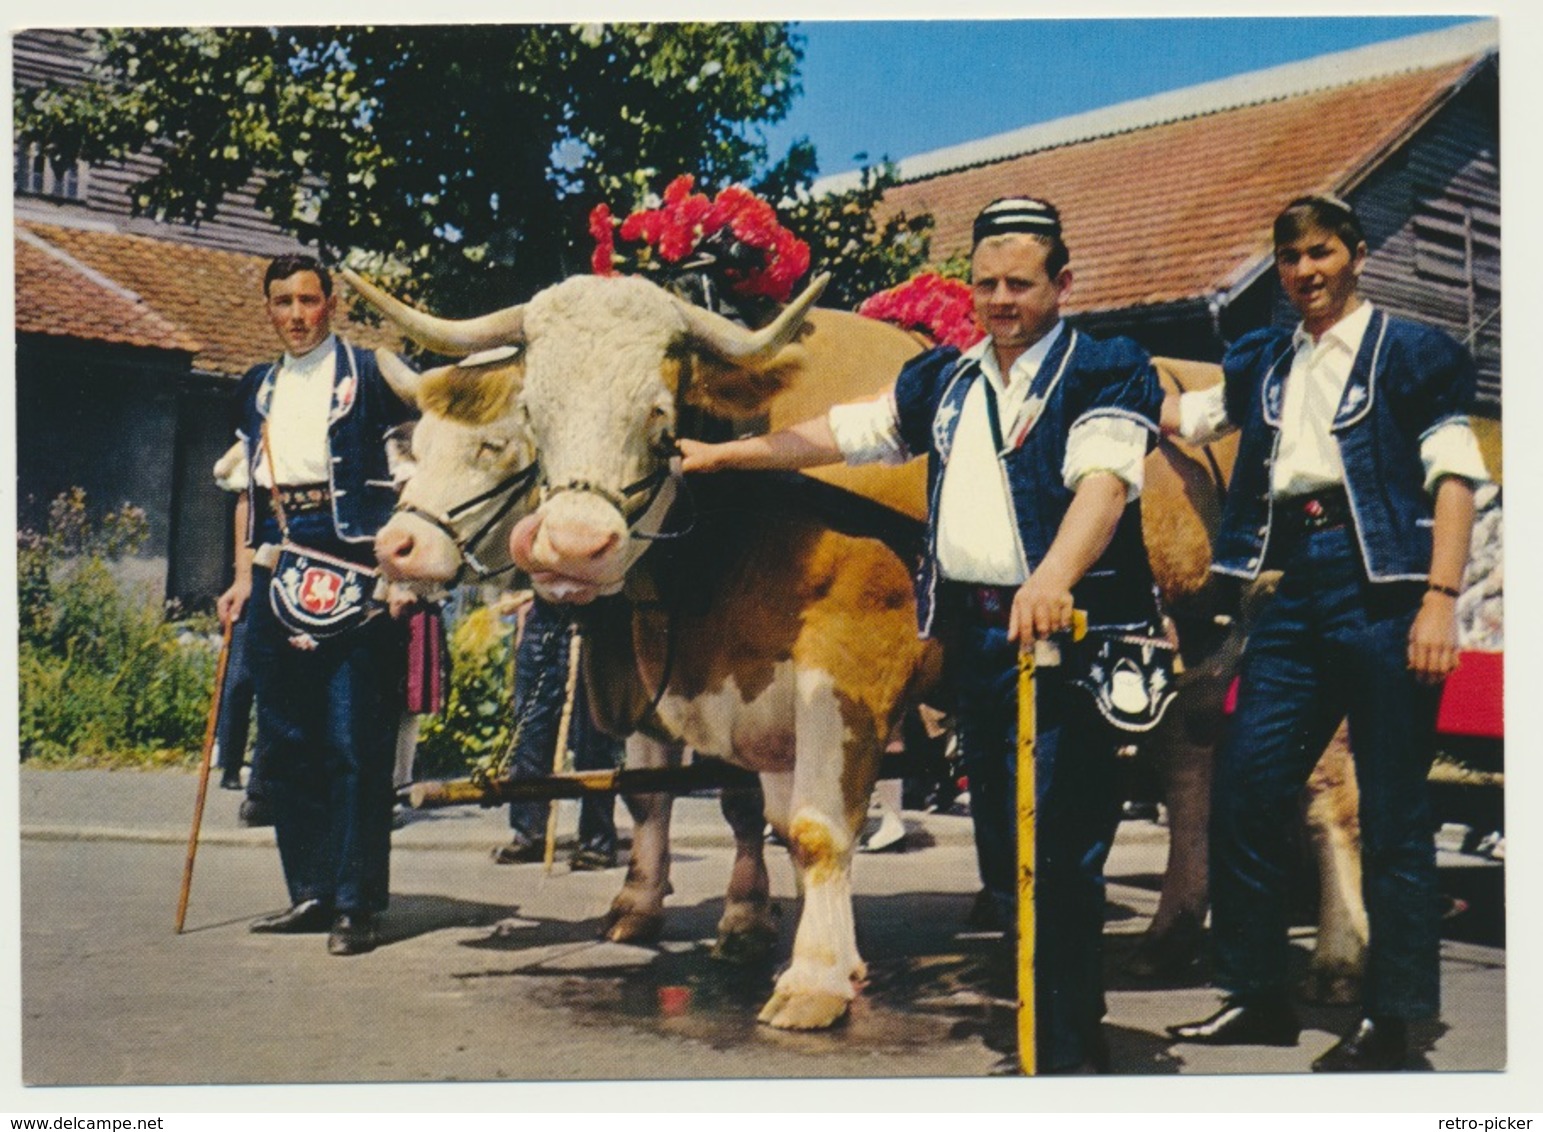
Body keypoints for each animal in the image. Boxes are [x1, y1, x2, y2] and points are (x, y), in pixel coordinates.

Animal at [344, 269, 1370, 1030]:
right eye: (537, 416)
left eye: (659, 414)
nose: (569, 546)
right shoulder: (732, 686)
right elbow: (720, 807)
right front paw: (731, 924)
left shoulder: (850, 666)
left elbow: (810, 827)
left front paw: (811, 977)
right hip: (1184, 665)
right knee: (1191, 773)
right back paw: (1168, 933)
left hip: (1297, 655)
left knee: (1322, 795)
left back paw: (1337, 959)